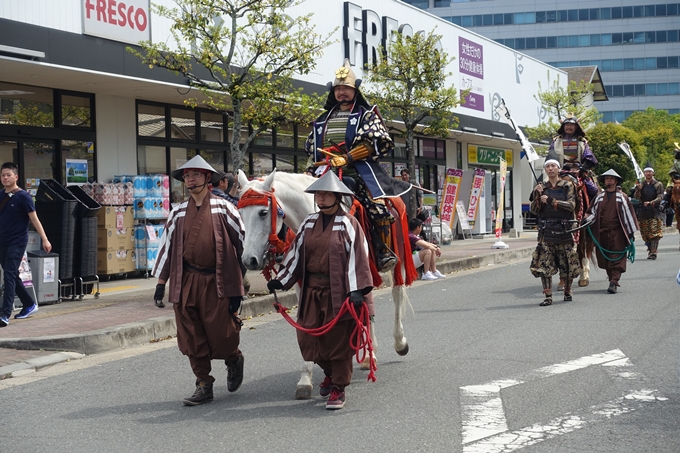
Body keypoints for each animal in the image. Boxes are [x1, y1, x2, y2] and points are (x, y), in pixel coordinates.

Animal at [236, 168, 412, 398]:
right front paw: (305, 378)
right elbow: (306, 323)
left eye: (263, 213)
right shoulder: (302, 280)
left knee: (396, 294)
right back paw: (367, 355)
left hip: (396, 258)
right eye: (240, 214)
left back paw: (398, 343)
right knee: (369, 306)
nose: (249, 260)